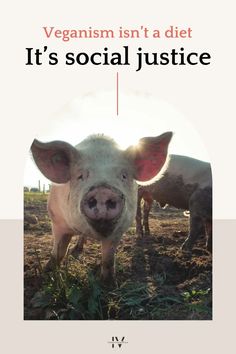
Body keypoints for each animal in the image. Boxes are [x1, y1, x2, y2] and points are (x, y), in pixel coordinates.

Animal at [30, 131, 172, 280]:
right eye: (80, 175)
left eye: (123, 175)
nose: (103, 191)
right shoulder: (57, 221)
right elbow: (58, 252)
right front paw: (45, 272)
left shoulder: (118, 231)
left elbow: (108, 260)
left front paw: (108, 282)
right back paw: (76, 250)